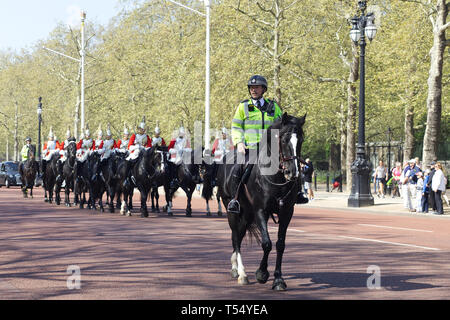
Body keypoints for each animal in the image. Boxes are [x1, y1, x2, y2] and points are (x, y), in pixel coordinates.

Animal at [217, 114, 306, 292]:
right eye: (284, 139)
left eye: (301, 139)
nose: (293, 172)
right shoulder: (260, 211)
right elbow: (266, 243)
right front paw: (262, 274)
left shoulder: (287, 212)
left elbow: (280, 244)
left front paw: (278, 279)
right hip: (232, 211)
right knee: (236, 237)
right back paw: (242, 273)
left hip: (246, 214)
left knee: (239, 235)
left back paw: (236, 268)